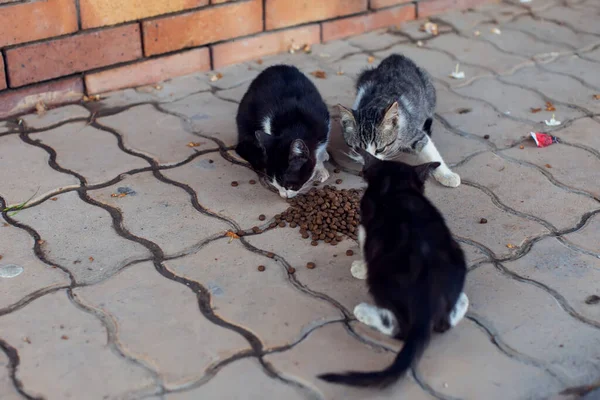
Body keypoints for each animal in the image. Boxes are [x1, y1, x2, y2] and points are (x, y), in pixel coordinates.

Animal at [236, 64, 330, 198]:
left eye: (289, 185)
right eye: (274, 184)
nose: (284, 196)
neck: (296, 124)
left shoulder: (324, 124)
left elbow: (320, 151)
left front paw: (320, 168)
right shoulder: (268, 121)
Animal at [318, 149, 468, 388]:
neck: (397, 187)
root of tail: (426, 303)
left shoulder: (366, 225)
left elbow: (363, 244)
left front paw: (359, 268)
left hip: (381, 281)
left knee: (399, 329)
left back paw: (364, 312)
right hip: (457, 257)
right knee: (446, 322)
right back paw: (460, 303)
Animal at [338, 52, 460, 188]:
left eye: (380, 149)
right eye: (357, 149)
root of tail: (396, 56)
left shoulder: (412, 132)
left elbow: (430, 150)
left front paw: (447, 175)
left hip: (429, 90)